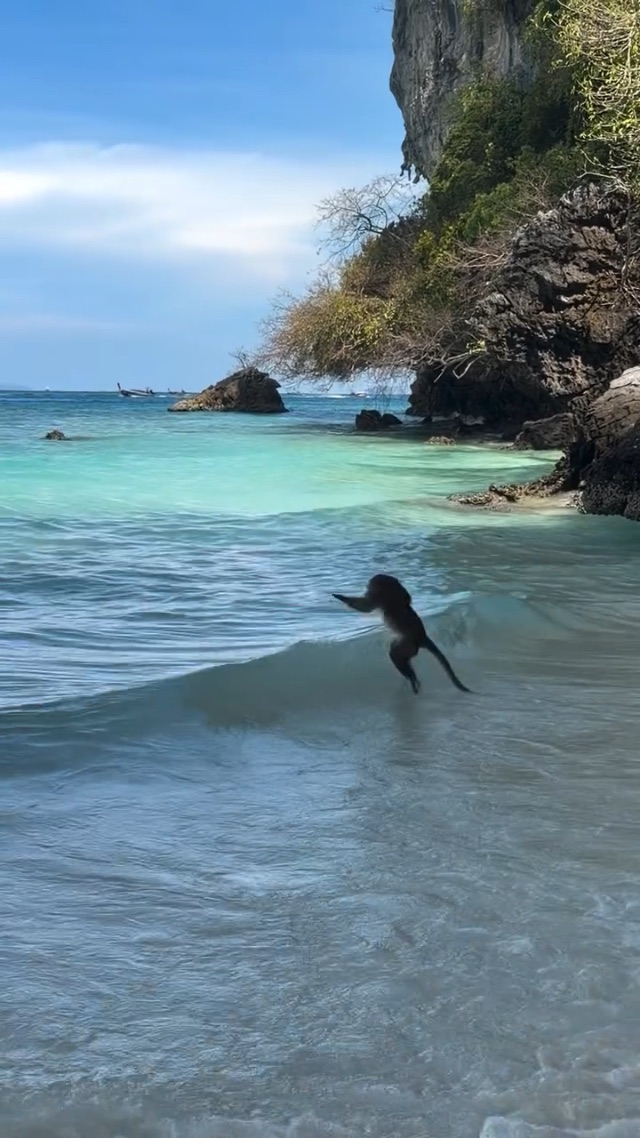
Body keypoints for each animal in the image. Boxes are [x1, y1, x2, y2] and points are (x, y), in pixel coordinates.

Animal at [332, 573, 471, 696]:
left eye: (371, 585)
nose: (367, 587)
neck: (391, 589)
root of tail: (422, 638)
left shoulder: (381, 596)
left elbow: (367, 607)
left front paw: (341, 597)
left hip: (408, 644)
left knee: (396, 655)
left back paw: (412, 679)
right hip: (410, 647)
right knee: (402, 658)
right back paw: (413, 678)